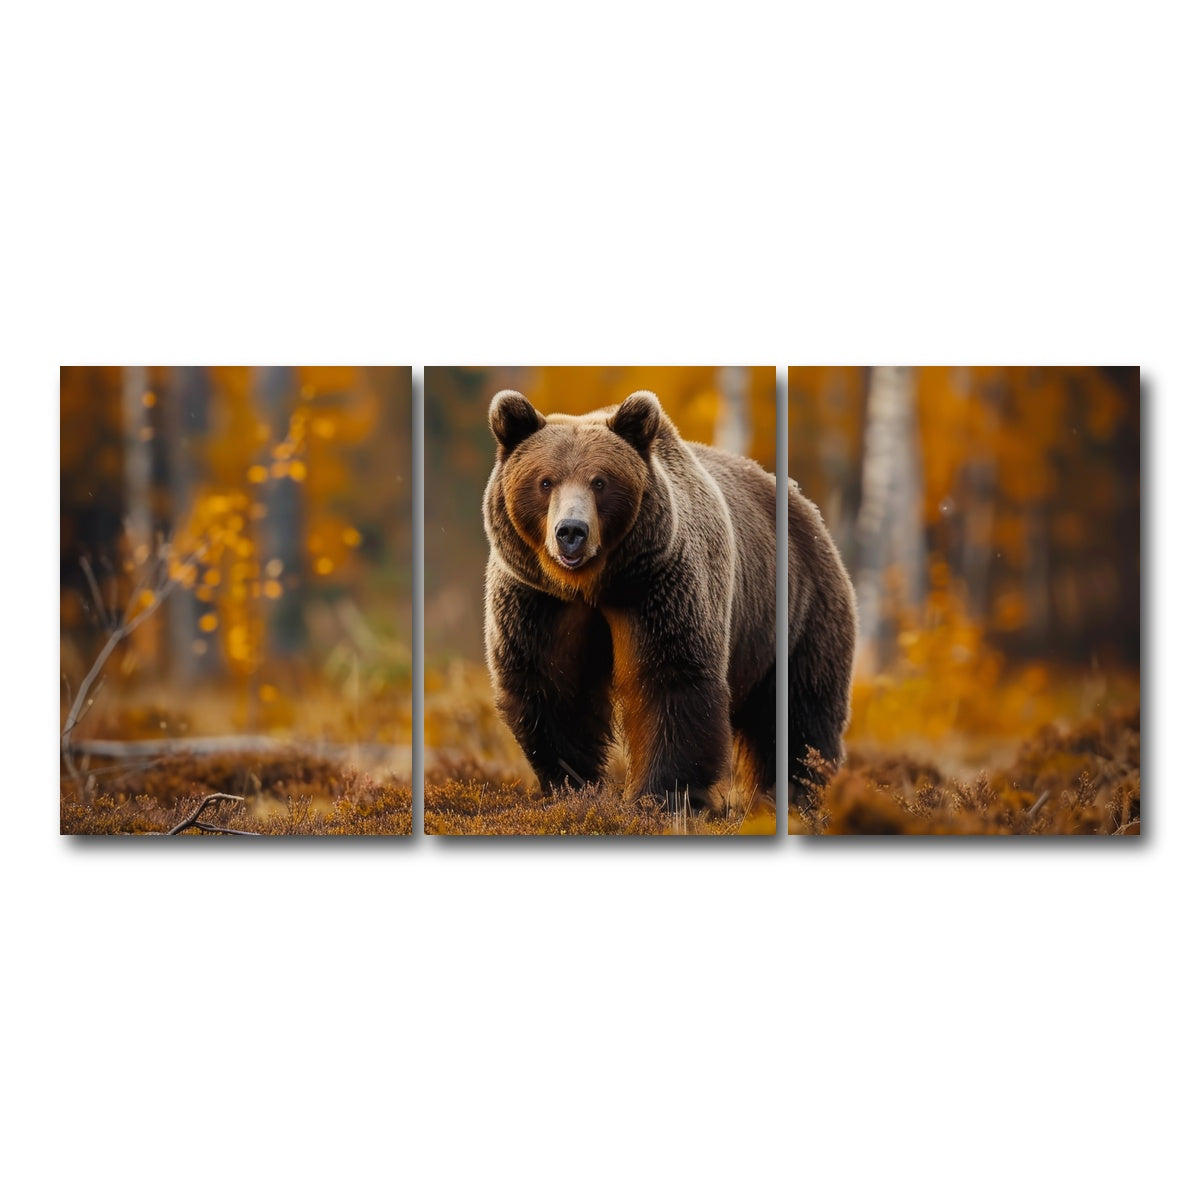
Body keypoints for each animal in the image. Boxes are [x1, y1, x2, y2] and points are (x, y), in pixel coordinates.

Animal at [483, 388, 855, 811]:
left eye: (600, 481)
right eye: (545, 481)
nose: (571, 532)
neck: (594, 584)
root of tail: (804, 505)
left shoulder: (660, 587)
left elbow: (671, 679)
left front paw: (660, 795)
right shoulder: (539, 602)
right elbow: (552, 687)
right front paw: (573, 785)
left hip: (799, 612)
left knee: (800, 709)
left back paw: (799, 791)